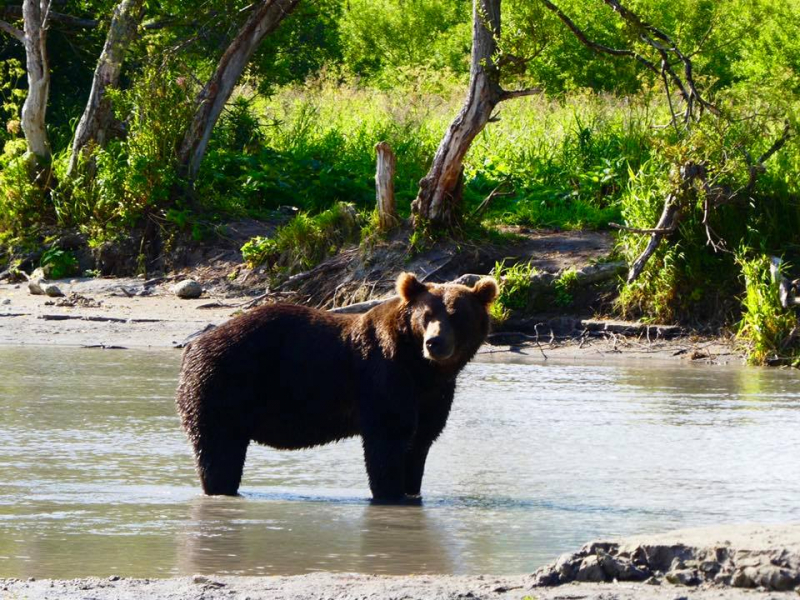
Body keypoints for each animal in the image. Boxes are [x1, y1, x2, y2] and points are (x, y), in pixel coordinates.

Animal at [178, 272, 496, 502]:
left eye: (456, 315)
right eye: (426, 315)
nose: (435, 343)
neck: (421, 368)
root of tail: (194, 343)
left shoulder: (433, 395)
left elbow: (419, 443)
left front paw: (411, 491)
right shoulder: (384, 378)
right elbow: (388, 441)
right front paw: (391, 495)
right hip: (222, 385)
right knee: (219, 450)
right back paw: (221, 489)